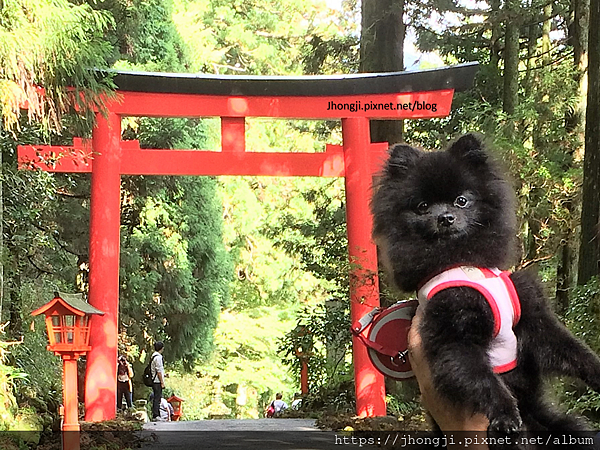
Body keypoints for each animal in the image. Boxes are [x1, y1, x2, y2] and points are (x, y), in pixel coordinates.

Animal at [370, 133, 600, 446]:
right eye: (423, 206)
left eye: (461, 201)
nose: (445, 217)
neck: (463, 260)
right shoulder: (454, 333)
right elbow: (482, 378)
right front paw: (505, 414)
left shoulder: (533, 315)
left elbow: (572, 349)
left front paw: (598, 371)